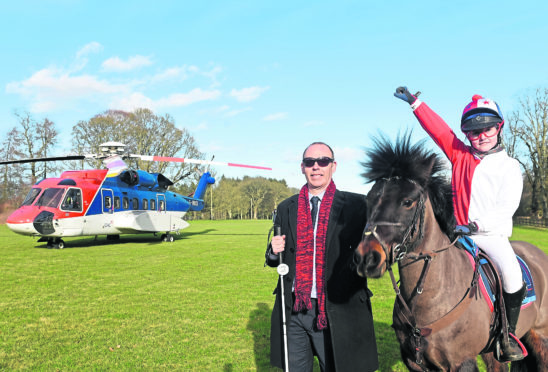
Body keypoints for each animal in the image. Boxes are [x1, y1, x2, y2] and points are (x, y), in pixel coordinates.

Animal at [356, 134, 548, 372]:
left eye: (407, 202)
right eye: (369, 199)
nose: (367, 258)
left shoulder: (461, 362)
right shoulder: (414, 363)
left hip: (541, 337)